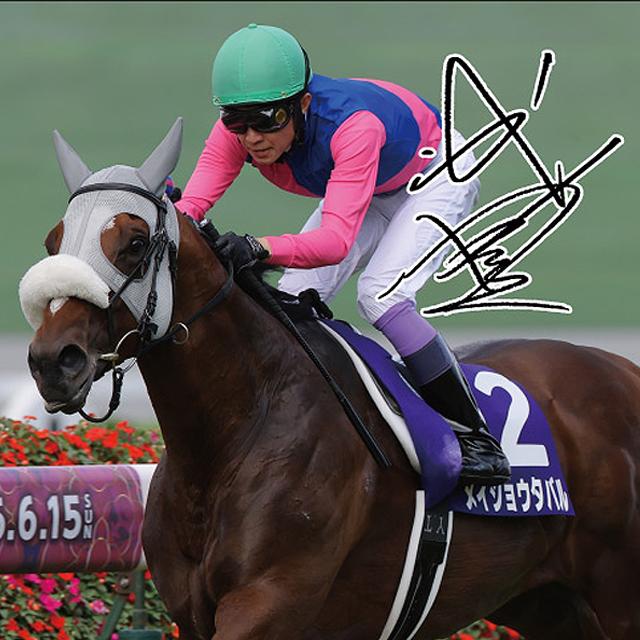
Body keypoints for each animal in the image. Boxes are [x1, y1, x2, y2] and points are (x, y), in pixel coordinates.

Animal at [20, 119, 640, 640]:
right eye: (53, 242)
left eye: (134, 244)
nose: (55, 361)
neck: (235, 431)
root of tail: (624, 368)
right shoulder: (193, 613)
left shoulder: (269, 602)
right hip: (548, 605)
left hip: (615, 598)